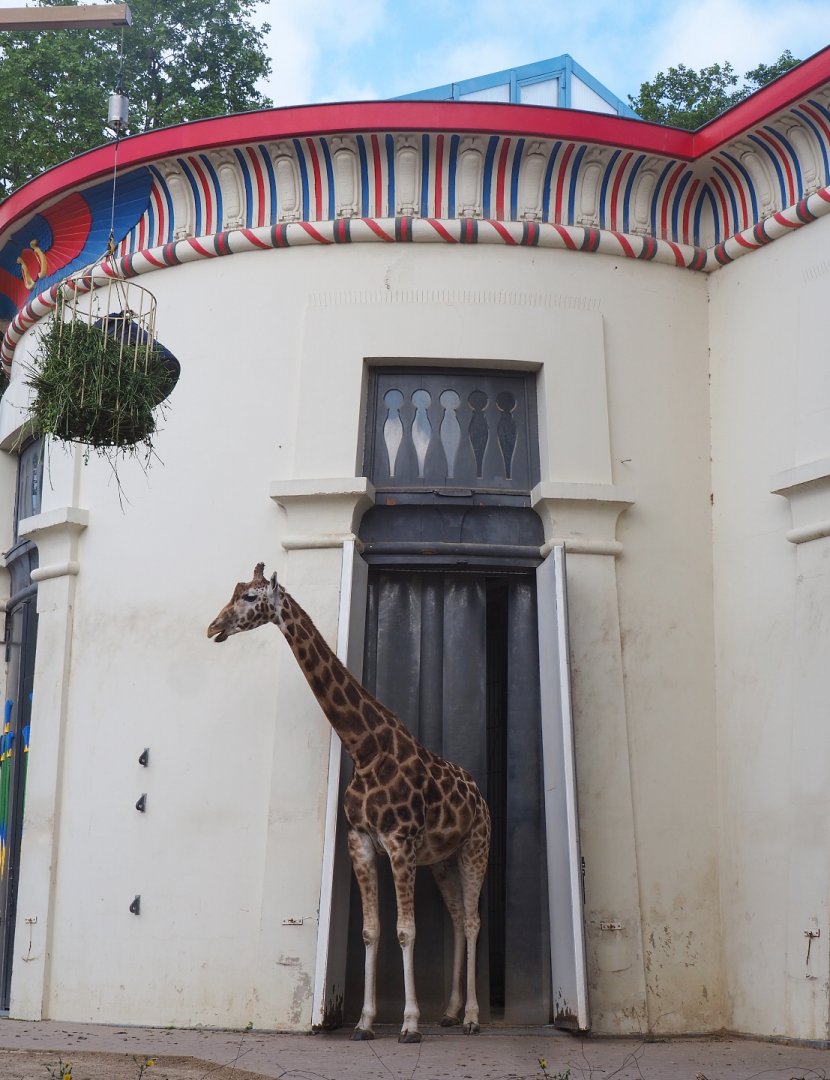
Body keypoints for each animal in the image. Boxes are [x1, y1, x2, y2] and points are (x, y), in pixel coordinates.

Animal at [207, 563, 491, 1043]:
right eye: (235, 590)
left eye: (250, 597)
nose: (213, 628)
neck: (365, 749)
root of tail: (481, 797)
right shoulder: (361, 841)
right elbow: (371, 931)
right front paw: (364, 1022)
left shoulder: (400, 843)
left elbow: (405, 931)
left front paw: (409, 1024)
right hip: (442, 861)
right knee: (456, 919)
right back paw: (451, 1012)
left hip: (475, 849)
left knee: (472, 921)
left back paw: (472, 1018)